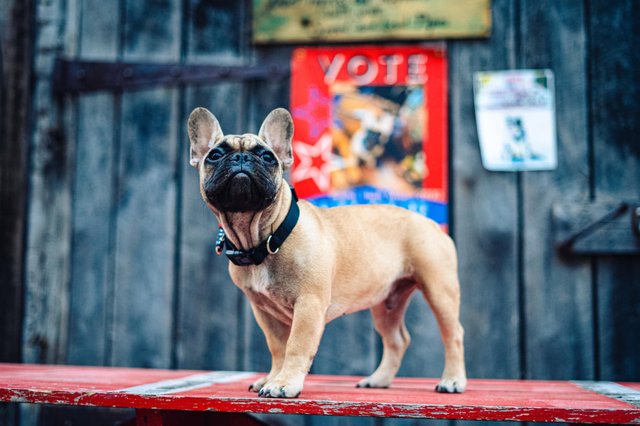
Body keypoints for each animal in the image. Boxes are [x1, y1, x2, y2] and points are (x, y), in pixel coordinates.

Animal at [187, 107, 467, 398]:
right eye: (214, 155)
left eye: (267, 157)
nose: (241, 157)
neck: (265, 237)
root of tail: (431, 222)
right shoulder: (264, 311)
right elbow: (277, 348)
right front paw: (272, 378)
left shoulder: (308, 304)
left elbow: (296, 345)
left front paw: (285, 384)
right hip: (386, 301)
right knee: (397, 340)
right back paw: (378, 380)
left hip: (439, 290)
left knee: (453, 335)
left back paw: (452, 381)